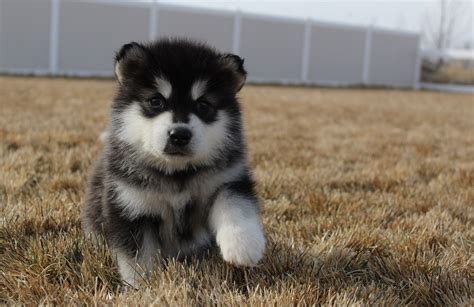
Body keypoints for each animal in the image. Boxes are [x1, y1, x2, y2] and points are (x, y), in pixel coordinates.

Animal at [82, 39, 266, 288]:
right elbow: (137, 258)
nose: (179, 135)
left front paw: (243, 245)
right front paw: (143, 287)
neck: (178, 174)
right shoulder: (130, 204)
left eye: (203, 105)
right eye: (156, 101)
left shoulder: (227, 181)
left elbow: (235, 204)